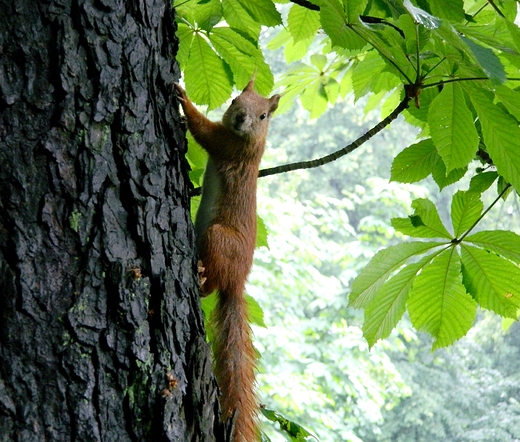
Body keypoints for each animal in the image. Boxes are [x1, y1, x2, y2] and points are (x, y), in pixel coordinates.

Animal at [175, 79, 280, 442]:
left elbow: (204, 131)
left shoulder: (227, 145)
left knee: (210, 285)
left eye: (263, 115)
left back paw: (201, 275)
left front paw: (182, 99)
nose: (239, 118)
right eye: (236, 99)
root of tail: (238, 280)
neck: (251, 142)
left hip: (218, 237)